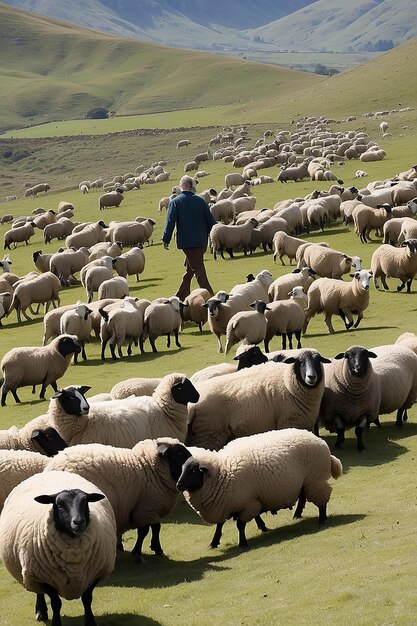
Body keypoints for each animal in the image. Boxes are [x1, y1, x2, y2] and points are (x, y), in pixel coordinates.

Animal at [0, 470, 116, 620]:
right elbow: (56, 603)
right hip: (33, 573)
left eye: (85, 502)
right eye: (59, 505)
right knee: (39, 592)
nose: (78, 522)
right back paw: (41, 612)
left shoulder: (96, 573)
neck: (73, 559)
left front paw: (90, 621)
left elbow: (87, 599)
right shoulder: (44, 579)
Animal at [172, 428, 342, 544]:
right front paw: (214, 543)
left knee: (320, 499)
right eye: (182, 469)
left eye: (194, 470)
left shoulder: (247, 503)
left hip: (315, 479)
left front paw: (243, 542)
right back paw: (297, 514)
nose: (179, 484)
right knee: (303, 496)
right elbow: (221, 525)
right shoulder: (228, 503)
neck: (223, 470)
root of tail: (319, 440)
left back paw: (322, 519)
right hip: (306, 481)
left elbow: (240, 524)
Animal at [187, 348, 330, 450]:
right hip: (209, 434)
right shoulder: (290, 423)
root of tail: (192, 405)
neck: (288, 384)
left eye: (318, 361)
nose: (311, 377)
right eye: (300, 362)